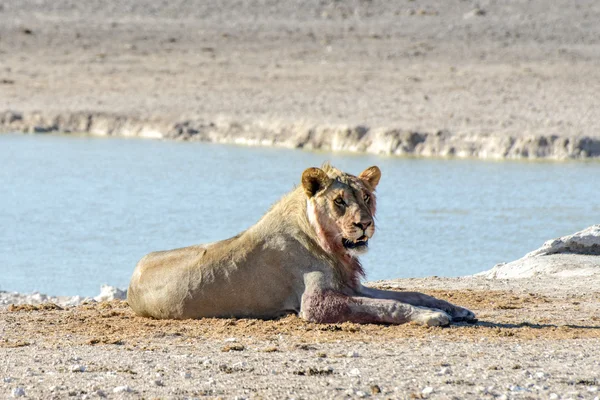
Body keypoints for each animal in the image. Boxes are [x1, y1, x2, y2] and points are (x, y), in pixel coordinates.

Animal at [129, 164, 476, 326]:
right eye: (340, 201)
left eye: (366, 197)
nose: (365, 223)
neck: (332, 247)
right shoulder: (315, 303)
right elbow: (387, 305)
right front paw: (431, 316)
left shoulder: (351, 286)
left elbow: (411, 294)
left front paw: (456, 309)